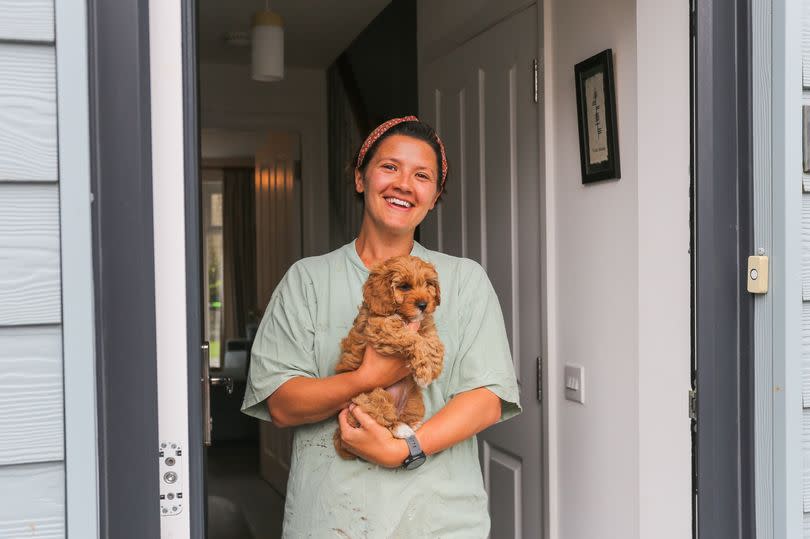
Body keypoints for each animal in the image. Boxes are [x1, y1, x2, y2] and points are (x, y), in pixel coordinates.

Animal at [334, 254, 448, 460]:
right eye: (404, 287)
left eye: (428, 284)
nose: (423, 305)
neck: (402, 314)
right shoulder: (381, 326)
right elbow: (413, 339)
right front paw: (423, 370)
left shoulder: (425, 324)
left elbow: (432, 340)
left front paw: (433, 367)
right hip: (371, 398)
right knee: (385, 420)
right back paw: (401, 429)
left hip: (413, 400)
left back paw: (413, 425)